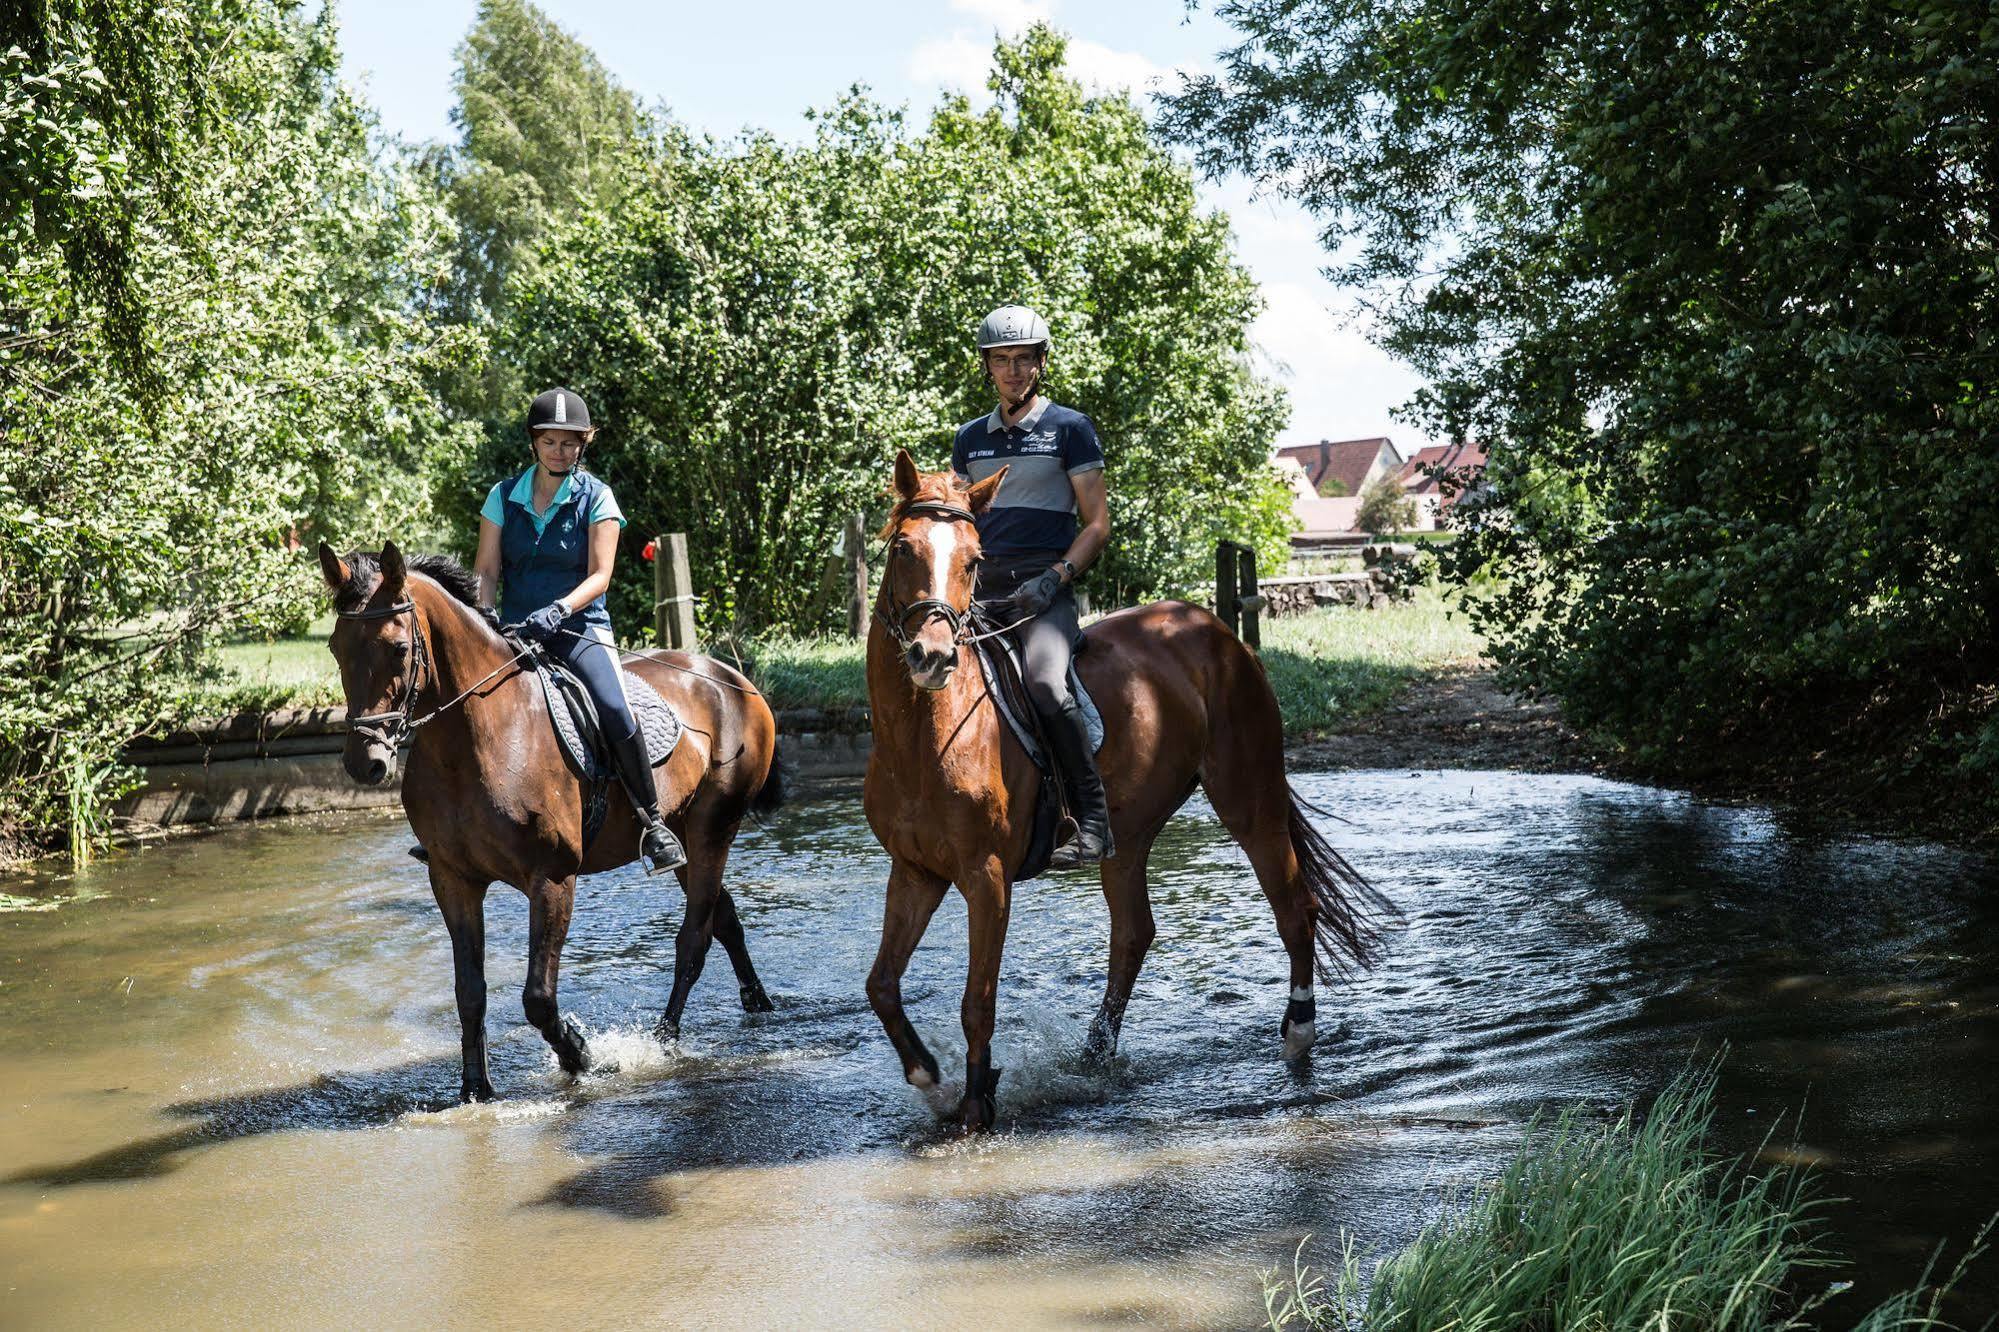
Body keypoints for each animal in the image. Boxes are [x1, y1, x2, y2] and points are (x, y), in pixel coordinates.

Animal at [317, 536, 779, 1096]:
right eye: (336, 648)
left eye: (399, 648)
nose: (365, 762)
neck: (476, 738)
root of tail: (731, 677)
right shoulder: (452, 878)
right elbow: (469, 990)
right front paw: (475, 1089)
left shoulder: (553, 878)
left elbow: (538, 997)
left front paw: (582, 1055)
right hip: (688, 833)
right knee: (723, 916)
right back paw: (757, 1002)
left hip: (715, 827)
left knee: (694, 938)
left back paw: (664, 1039)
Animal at [867, 452, 1399, 1128]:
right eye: (902, 548)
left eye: (973, 560)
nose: (932, 656)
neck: (924, 733)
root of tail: (1217, 628)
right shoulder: (915, 871)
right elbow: (881, 985)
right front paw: (932, 1082)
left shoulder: (986, 877)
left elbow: (977, 999)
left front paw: (976, 1105)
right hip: (1131, 828)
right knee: (1133, 933)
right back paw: (1095, 1057)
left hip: (1248, 799)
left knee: (1293, 905)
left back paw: (1299, 1034)